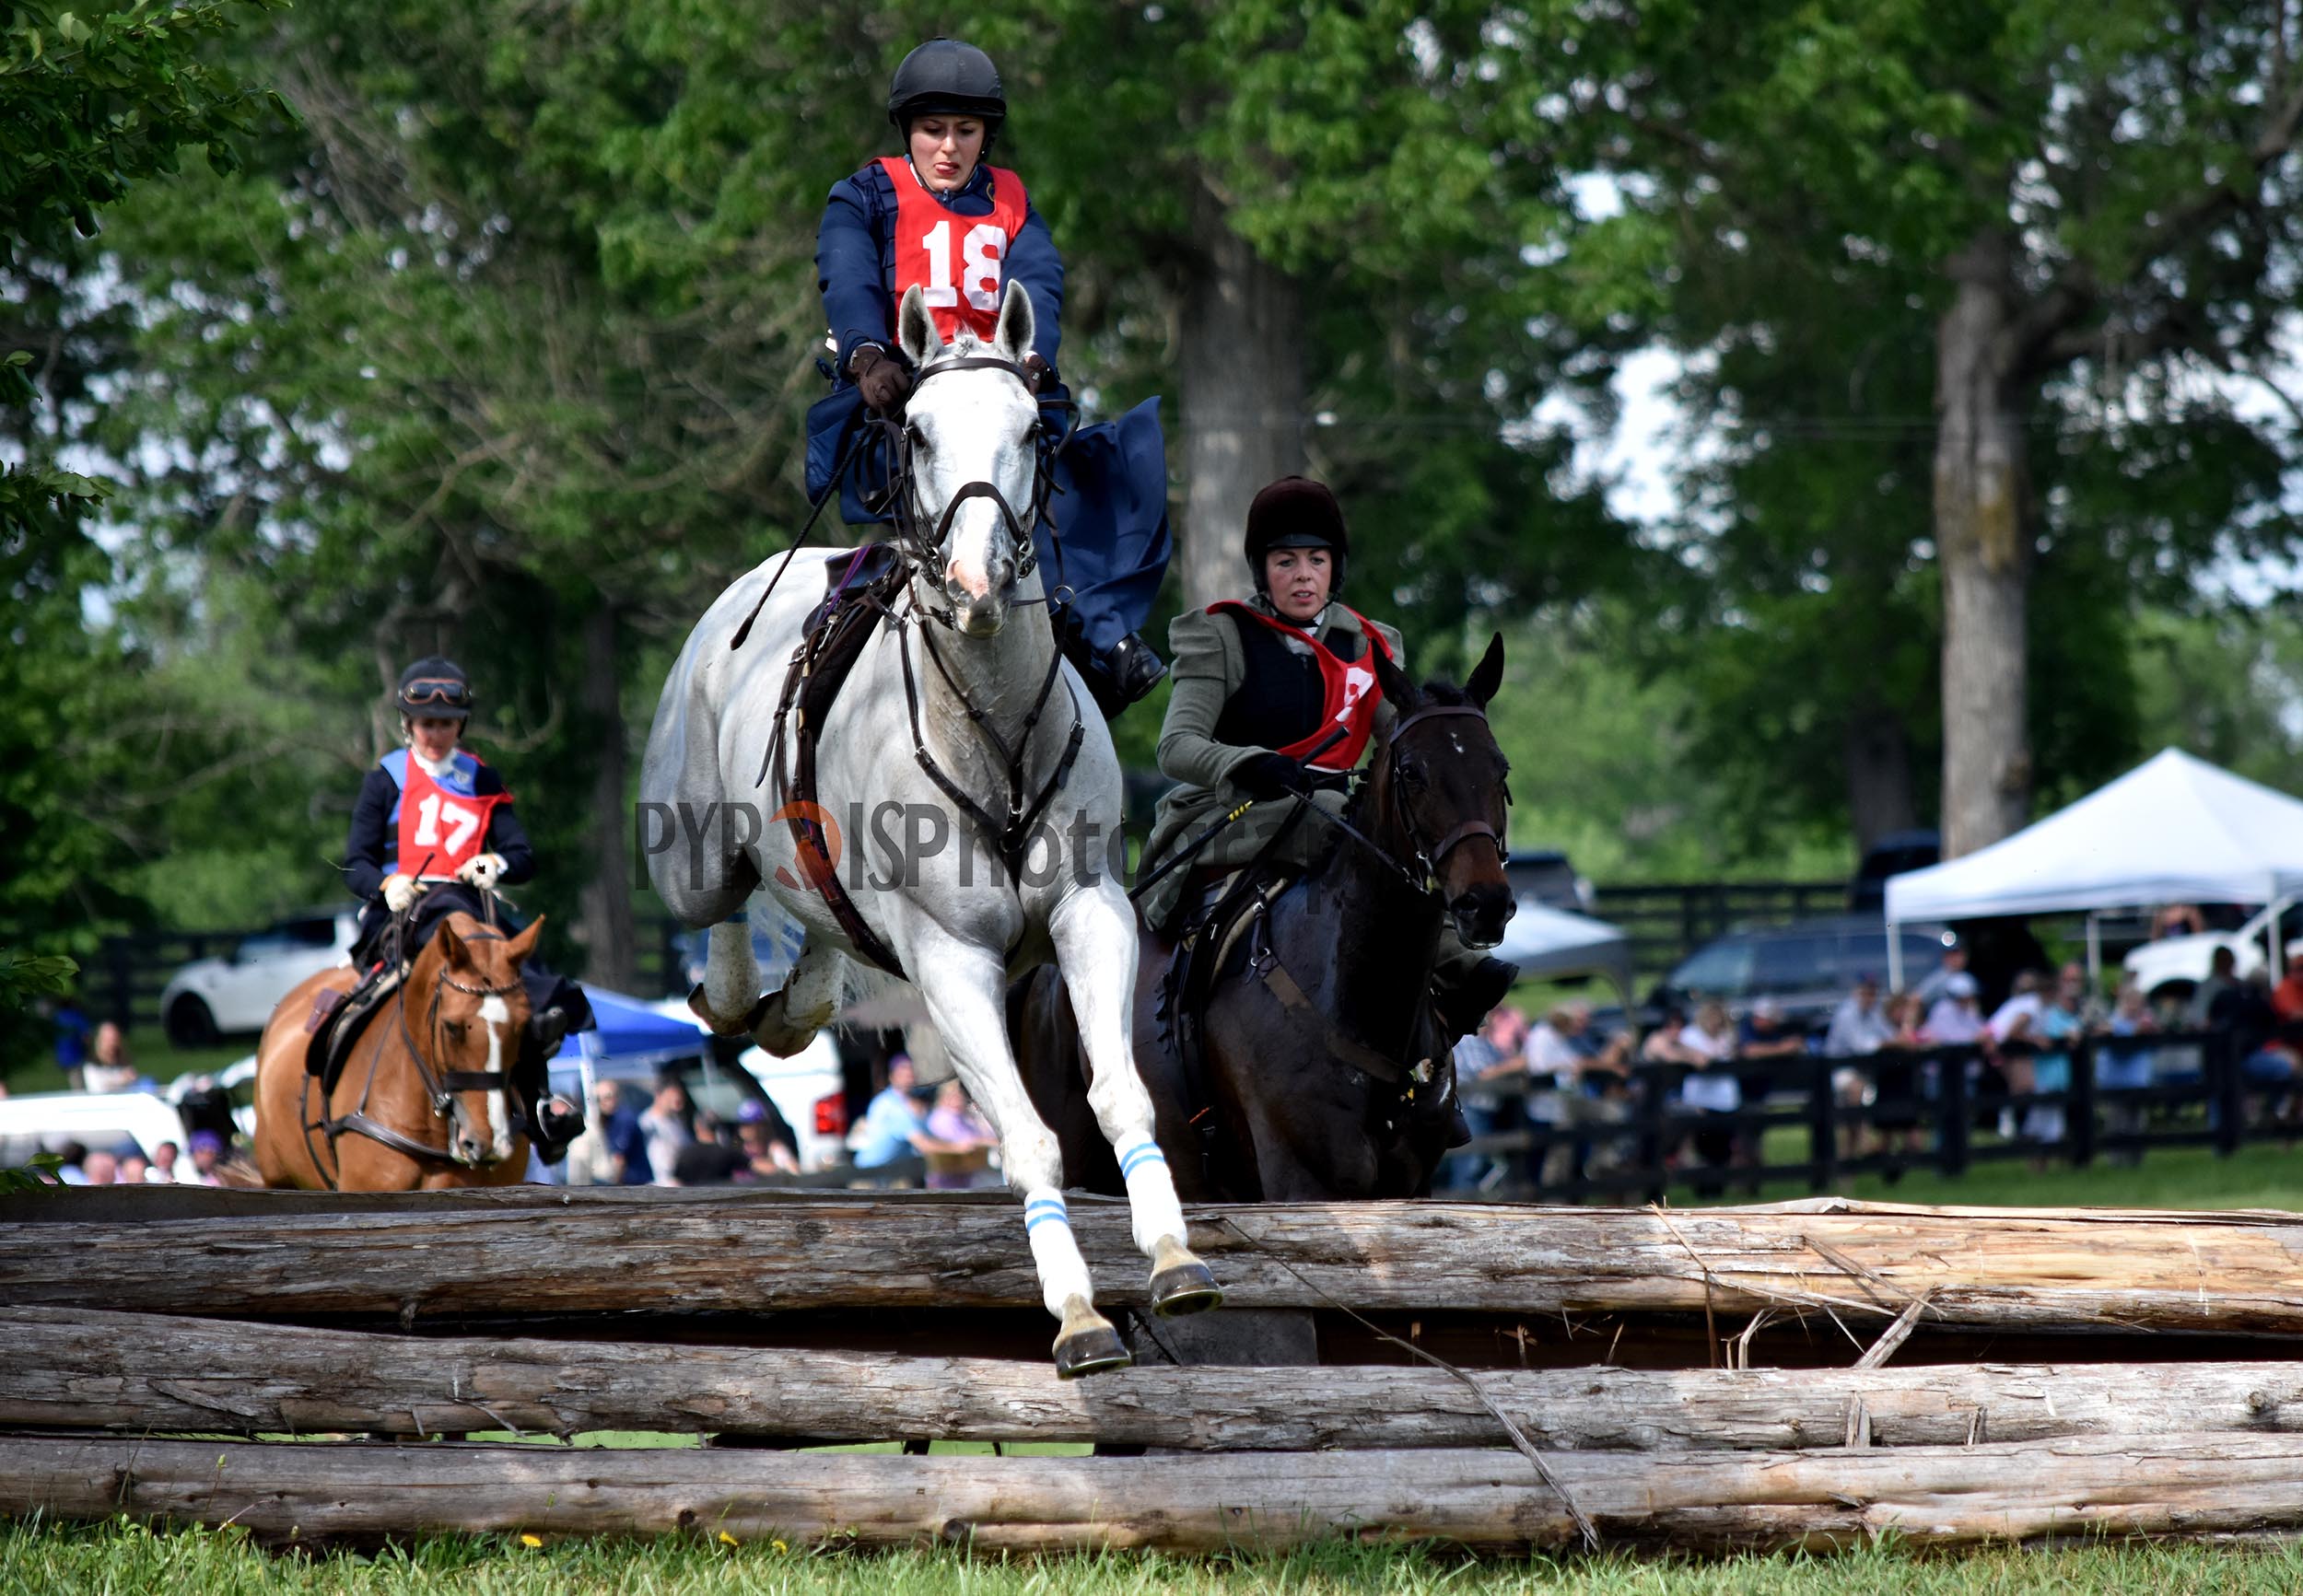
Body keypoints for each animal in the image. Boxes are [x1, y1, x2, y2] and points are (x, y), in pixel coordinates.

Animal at [645, 283, 1225, 1372]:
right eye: (914, 431)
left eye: (1033, 430)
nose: (976, 578)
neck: (991, 727)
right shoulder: (954, 959)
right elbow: (1030, 1136)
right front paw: (1079, 1314)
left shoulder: (1090, 913)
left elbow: (1119, 1094)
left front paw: (1174, 1258)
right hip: (692, 848)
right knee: (724, 906)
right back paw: (739, 994)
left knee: (819, 930)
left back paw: (794, 1005)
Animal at [1018, 635, 1520, 1197]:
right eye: (1412, 772)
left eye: (1499, 769)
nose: (1485, 903)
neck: (1362, 1006)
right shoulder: (1301, 1182)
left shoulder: (1410, 1188)